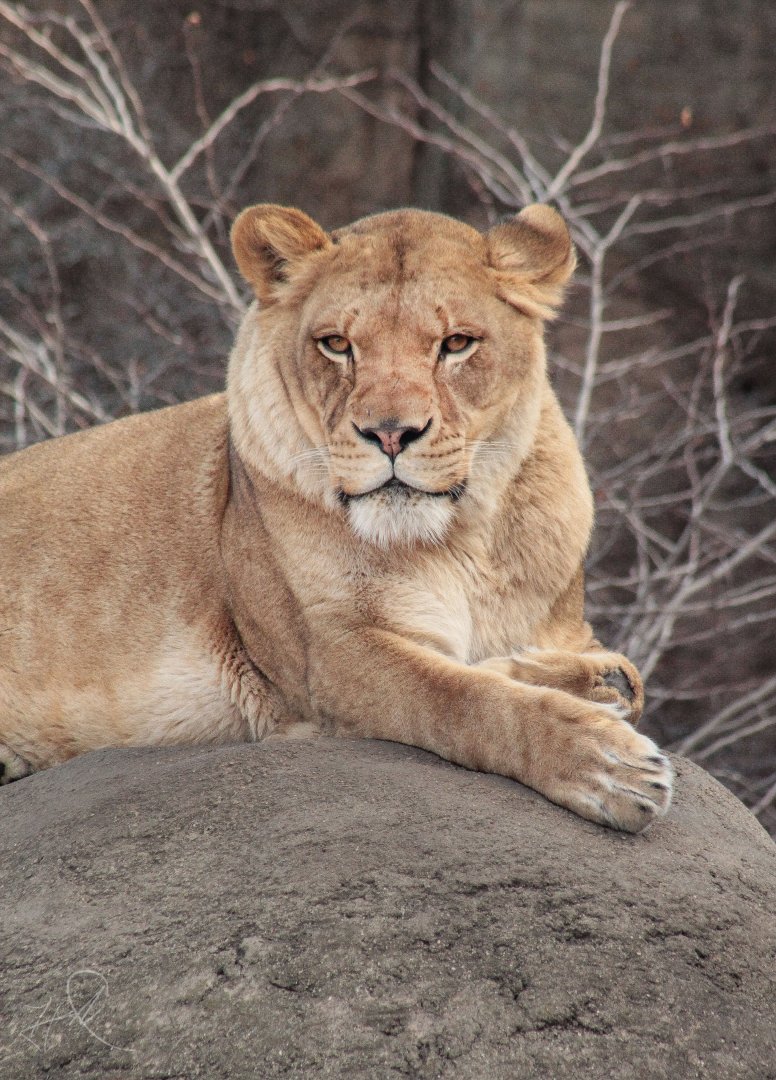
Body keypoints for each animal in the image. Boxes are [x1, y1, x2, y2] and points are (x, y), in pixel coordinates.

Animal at [0, 202, 672, 831]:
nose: (391, 433)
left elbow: (621, 680)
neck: (460, 540)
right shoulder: (325, 656)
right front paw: (607, 764)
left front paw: (589, 682)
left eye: (456, 343)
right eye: (337, 344)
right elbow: (462, 698)